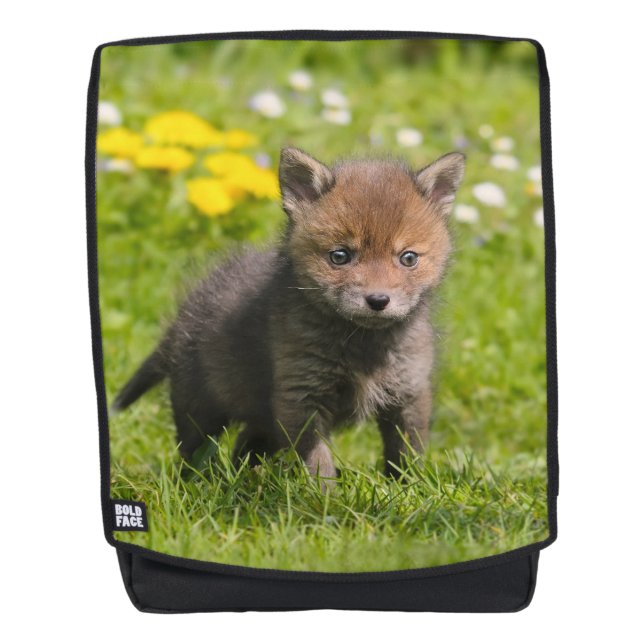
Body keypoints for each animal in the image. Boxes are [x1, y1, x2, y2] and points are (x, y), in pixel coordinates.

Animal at [112, 146, 465, 482]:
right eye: (340, 256)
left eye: (408, 258)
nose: (378, 300)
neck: (362, 347)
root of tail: (183, 316)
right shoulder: (300, 396)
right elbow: (318, 462)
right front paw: (325, 500)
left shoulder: (409, 393)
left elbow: (406, 454)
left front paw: (408, 490)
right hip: (201, 410)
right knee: (193, 453)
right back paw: (199, 484)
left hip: (261, 419)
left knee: (244, 446)